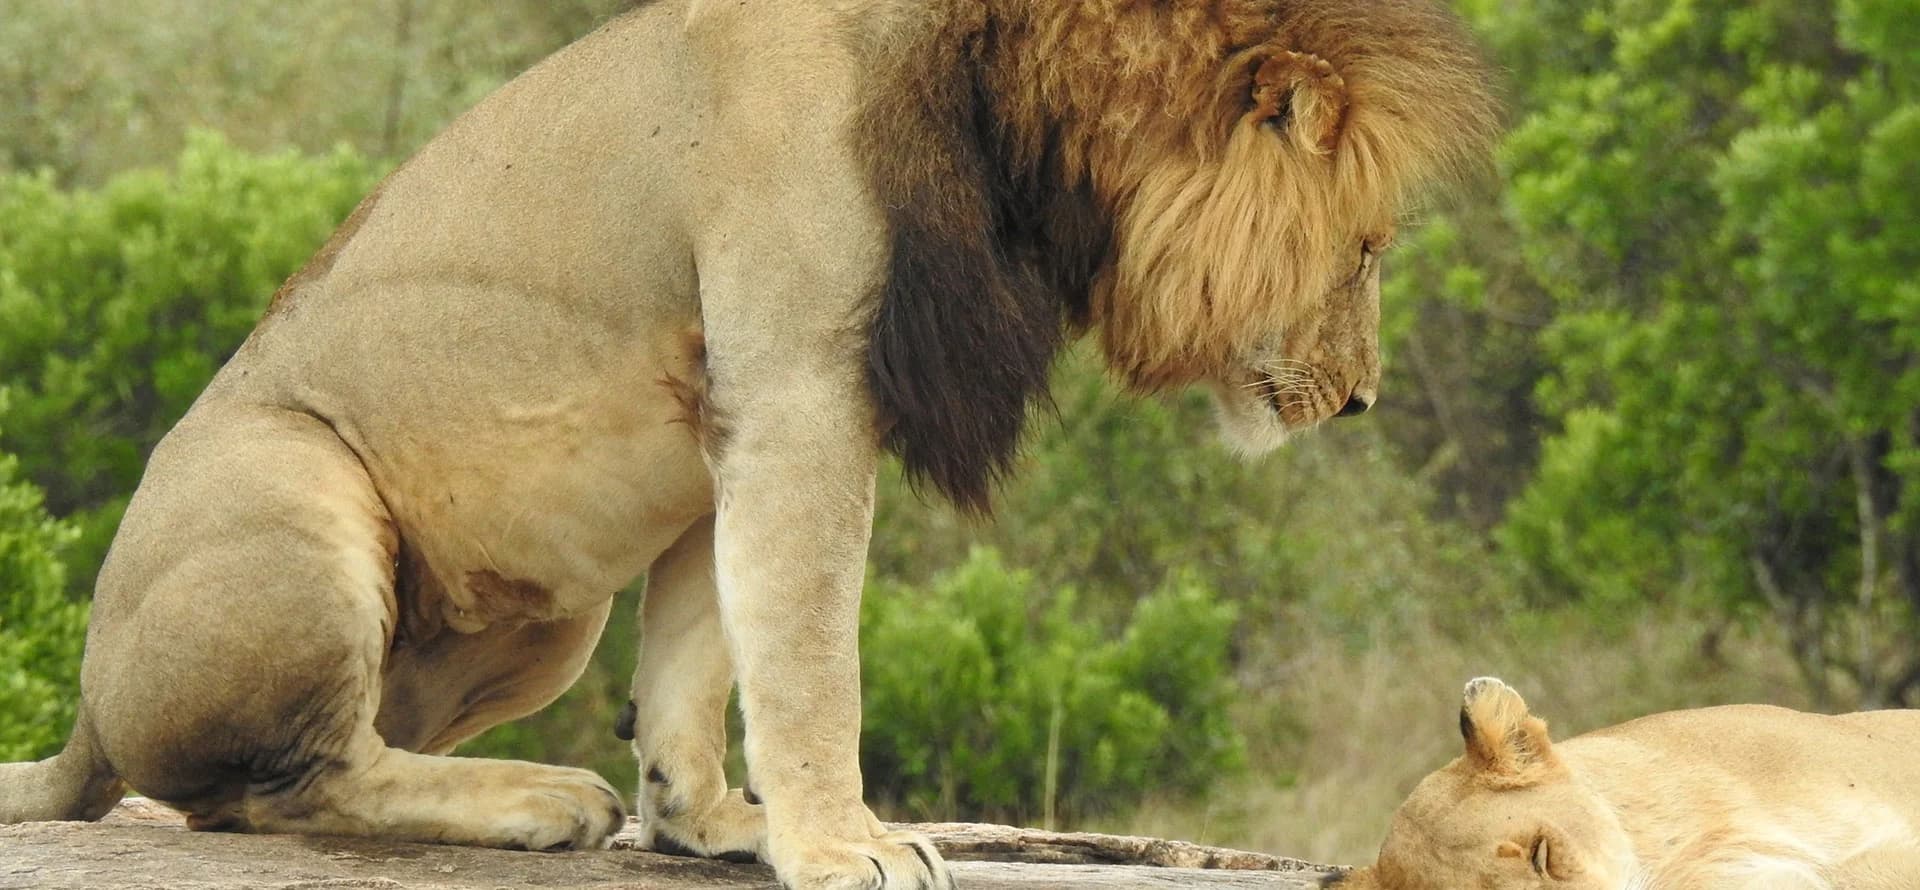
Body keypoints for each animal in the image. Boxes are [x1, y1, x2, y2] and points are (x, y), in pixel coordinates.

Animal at [0, 1, 1493, 887]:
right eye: (1368, 249)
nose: (1363, 400)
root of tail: (82, 711)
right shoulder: (801, 393)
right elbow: (811, 658)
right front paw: (844, 842)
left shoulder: (731, 428)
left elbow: (702, 651)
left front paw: (714, 820)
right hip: (296, 491)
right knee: (290, 780)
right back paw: (530, 797)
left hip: (550, 625)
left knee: (260, 783)